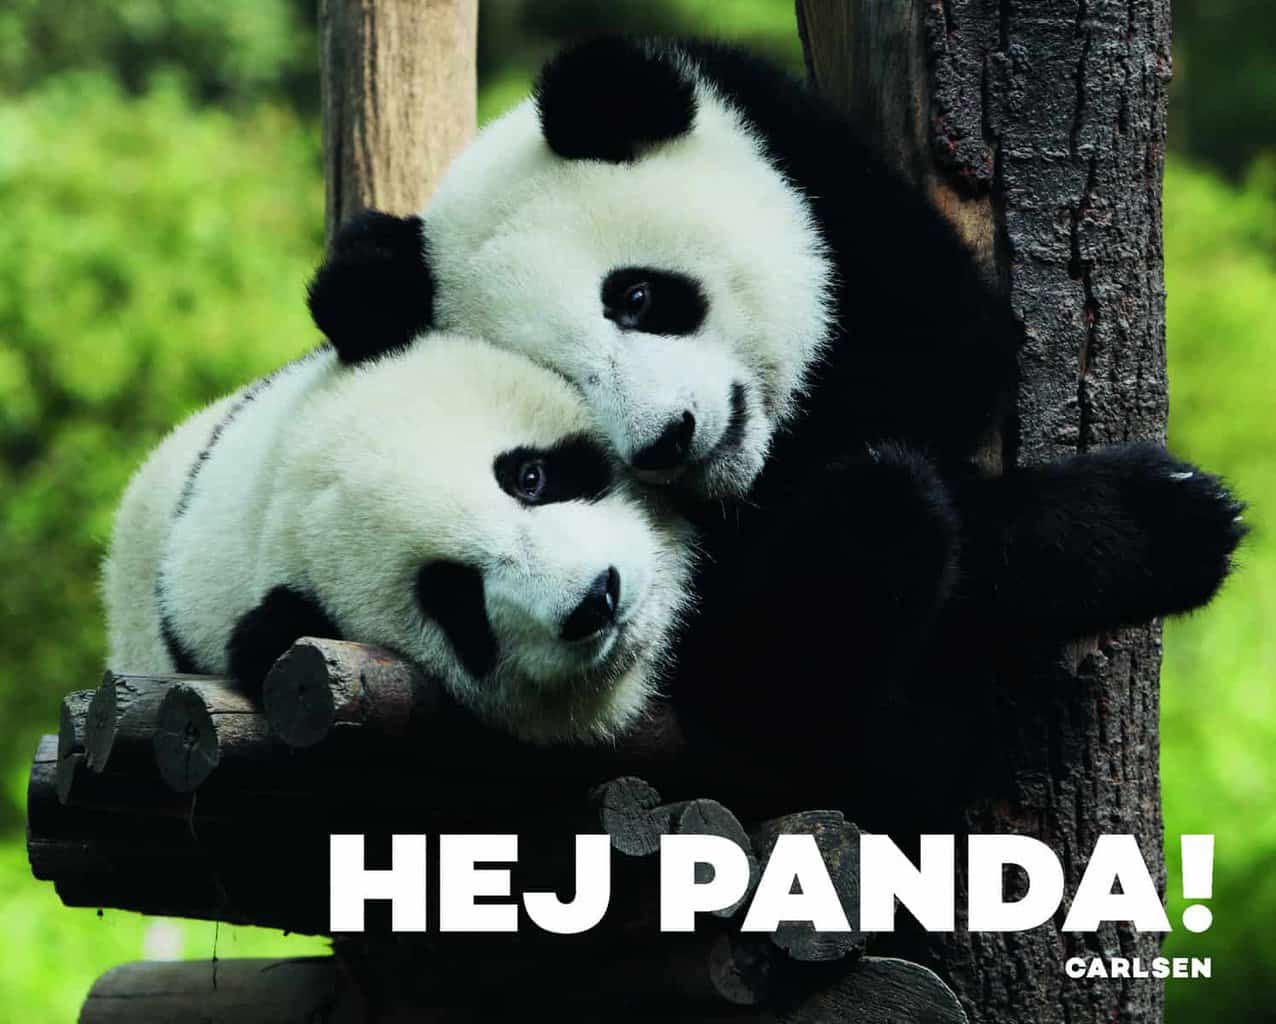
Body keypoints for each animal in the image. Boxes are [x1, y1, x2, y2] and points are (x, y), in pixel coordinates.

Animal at [305, 38, 1245, 814]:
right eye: (567, 384)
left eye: (635, 297)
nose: (668, 439)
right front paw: (1160, 523)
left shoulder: (826, 184)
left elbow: (955, 359)